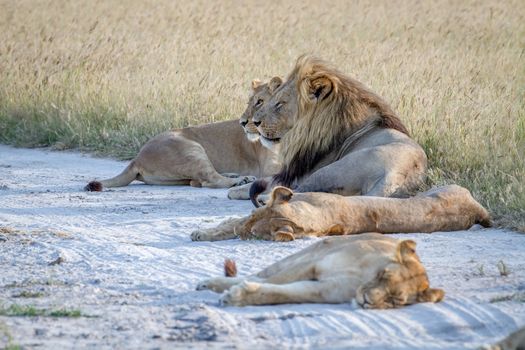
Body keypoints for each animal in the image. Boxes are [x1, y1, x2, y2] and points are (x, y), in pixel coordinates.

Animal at [85, 78, 282, 197]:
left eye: (260, 102)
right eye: (249, 102)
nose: (242, 122)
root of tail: (137, 158)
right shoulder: (268, 167)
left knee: (198, 180)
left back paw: (239, 176)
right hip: (192, 149)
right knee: (209, 180)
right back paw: (239, 180)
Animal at [195, 234, 442, 308]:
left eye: (395, 300)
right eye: (383, 275)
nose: (366, 301)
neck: (363, 278)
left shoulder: (324, 290)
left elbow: (279, 293)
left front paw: (238, 297)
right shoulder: (313, 264)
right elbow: (276, 280)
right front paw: (230, 292)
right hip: (309, 252)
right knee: (262, 274)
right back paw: (209, 284)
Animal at [249, 53, 426, 204]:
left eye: (280, 104)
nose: (255, 122)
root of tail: (395, 175)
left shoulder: (299, 174)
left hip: (329, 170)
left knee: (302, 191)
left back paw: (266, 198)